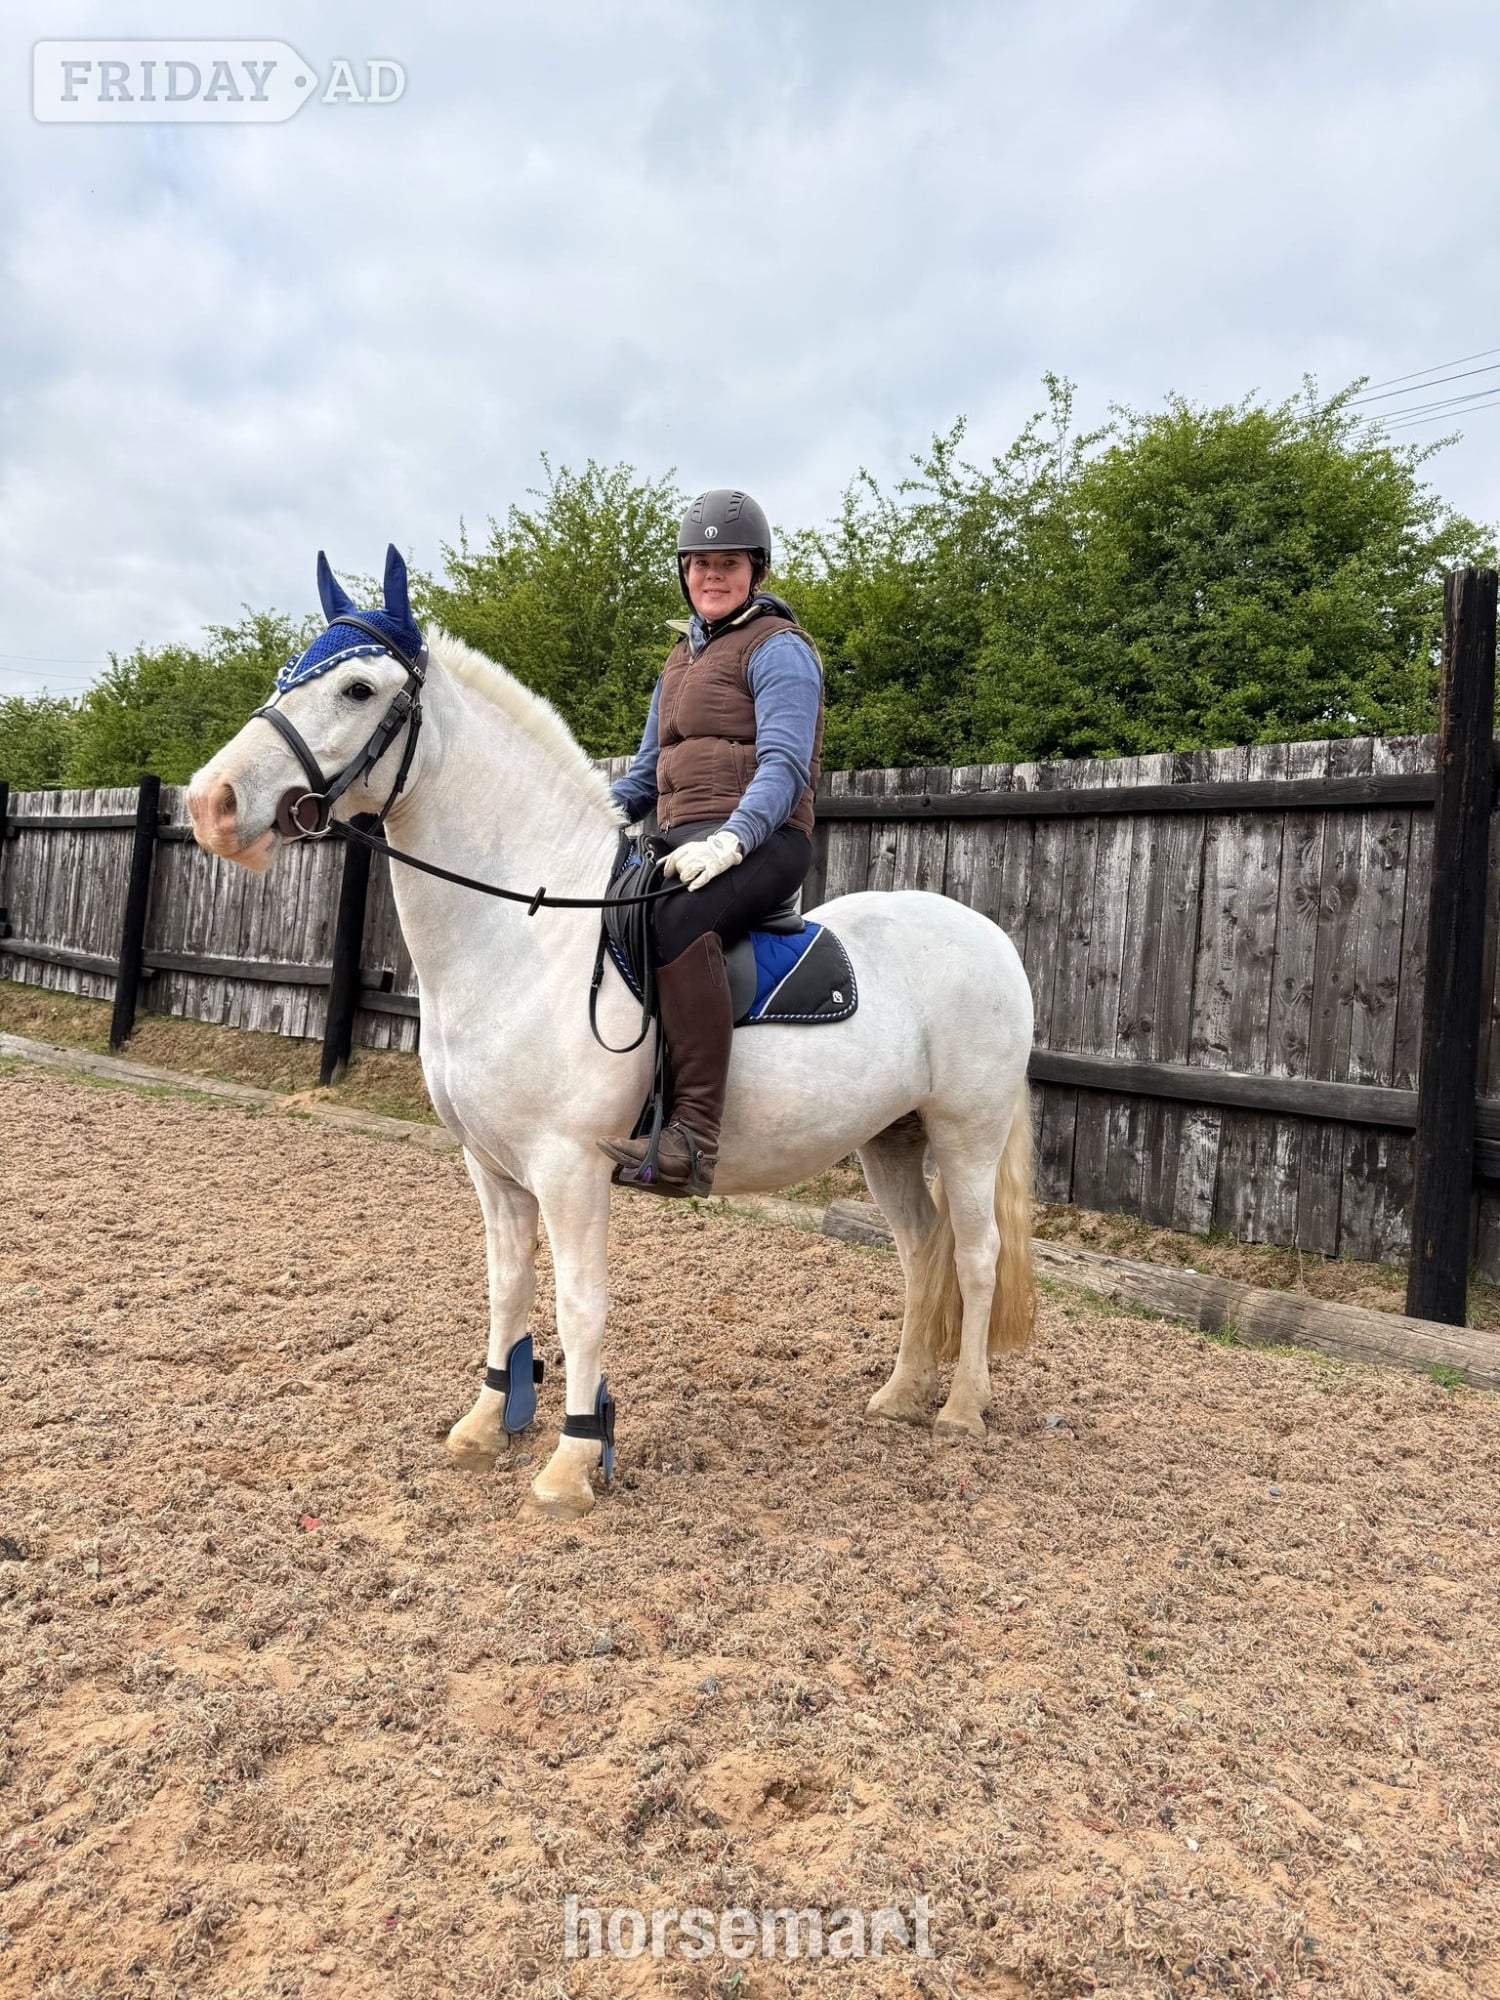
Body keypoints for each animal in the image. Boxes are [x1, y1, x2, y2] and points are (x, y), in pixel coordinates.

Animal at [186, 548, 1036, 1519]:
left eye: (358, 689)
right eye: (286, 676)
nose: (210, 803)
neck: (527, 930)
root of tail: (988, 935)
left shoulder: (571, 1168)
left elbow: (580, 1304)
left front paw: (572, 1461)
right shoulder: (491, 1166)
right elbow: (508, 1287)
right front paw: (487, 1423)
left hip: (966, 1132)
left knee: (976, 1254)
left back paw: (962, 1407)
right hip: (890, 1139)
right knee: (922, 1250)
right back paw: (899, 1394)